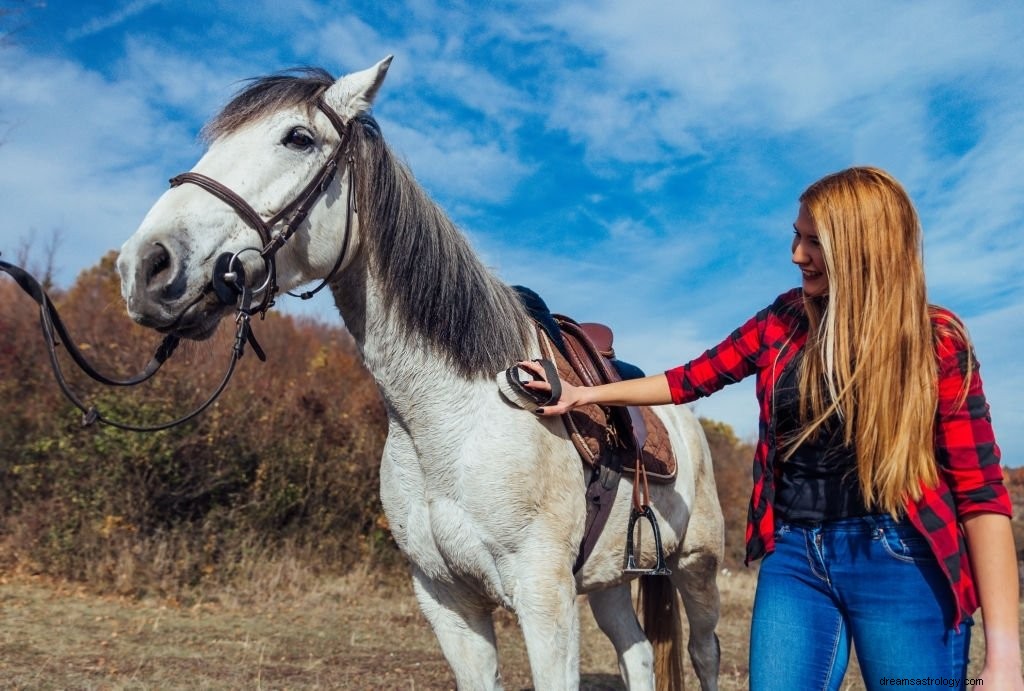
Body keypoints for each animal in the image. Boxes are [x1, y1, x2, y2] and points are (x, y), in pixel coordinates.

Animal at [116, 56, 724, 687]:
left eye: (298, 138)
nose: (147, 265)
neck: (453, 415)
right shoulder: (447, 603)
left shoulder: (545, 598)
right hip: (607, 583)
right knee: (636, 651)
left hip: (697, 567)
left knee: (704, 651)